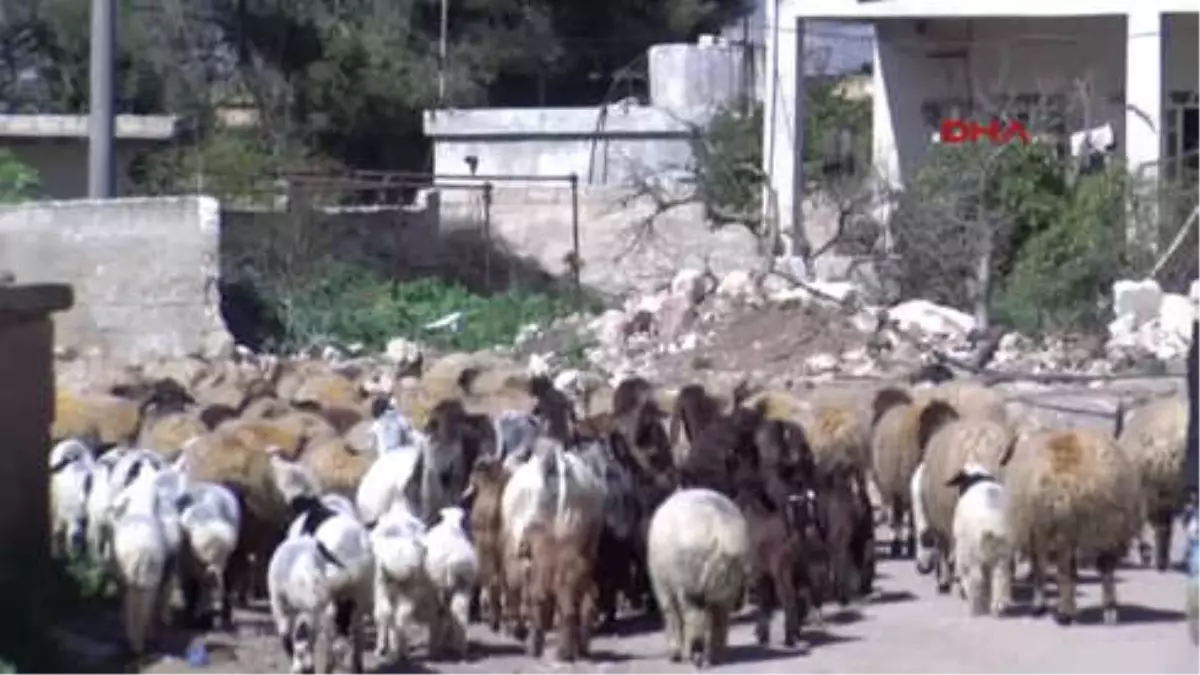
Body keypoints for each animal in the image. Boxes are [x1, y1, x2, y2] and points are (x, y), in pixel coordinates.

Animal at [422, 504, 477, 658]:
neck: (451, 525)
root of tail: (453, 559)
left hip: (438, 586)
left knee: (439, 613)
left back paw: (435, 647)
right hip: (463, 585)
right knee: (459, 611)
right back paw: (461, 648)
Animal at [648, 485, 748, 662]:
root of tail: (718, 533)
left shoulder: (665, 586)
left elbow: (671, 613)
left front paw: (676, 651)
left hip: (690, 579)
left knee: (693, 615)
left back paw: (695, 651)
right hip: (725, 579)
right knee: (719, 614)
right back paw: (715, 651)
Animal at [945, 456, 1012, 614]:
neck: (976, 476)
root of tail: (991, 526)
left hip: (970, 550)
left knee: (975, 578)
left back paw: (975, 606)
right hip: (1002, 552)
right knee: (1000, 576)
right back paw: (998, 605)